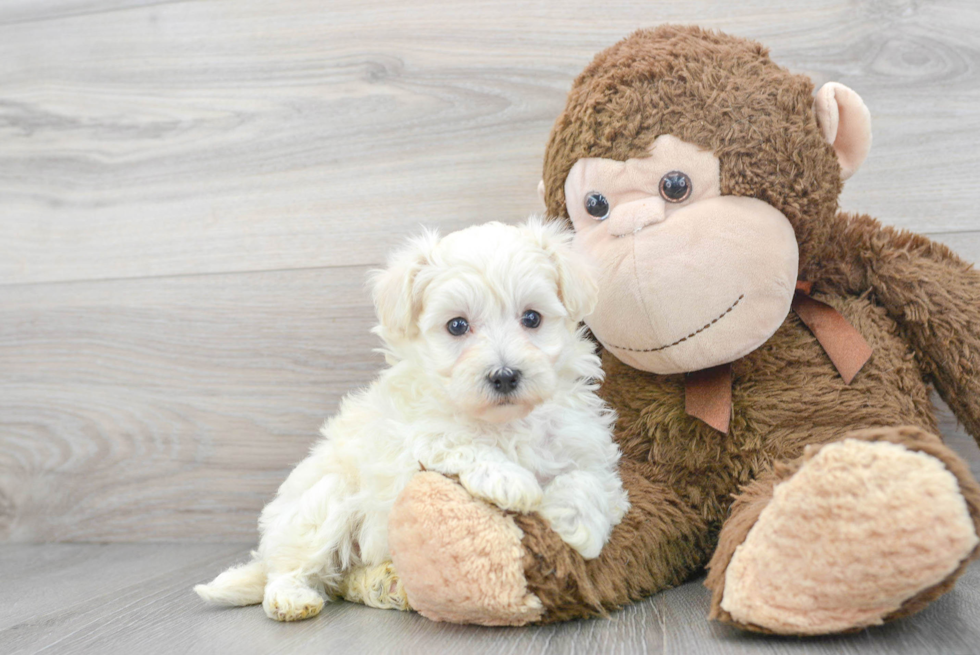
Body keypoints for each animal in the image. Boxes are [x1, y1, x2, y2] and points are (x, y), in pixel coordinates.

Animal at [195, 219, 632, 620]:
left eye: (532, 318)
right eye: (457, 325)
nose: (505, 375)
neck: (504, 422)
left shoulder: (586, 444)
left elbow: (591, 479)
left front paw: (574, 524)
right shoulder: (407, 441)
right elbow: (454, 440)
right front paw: (512, 480)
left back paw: (385, 585)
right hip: (321, 503)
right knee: (293, 566)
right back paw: (292, 597)